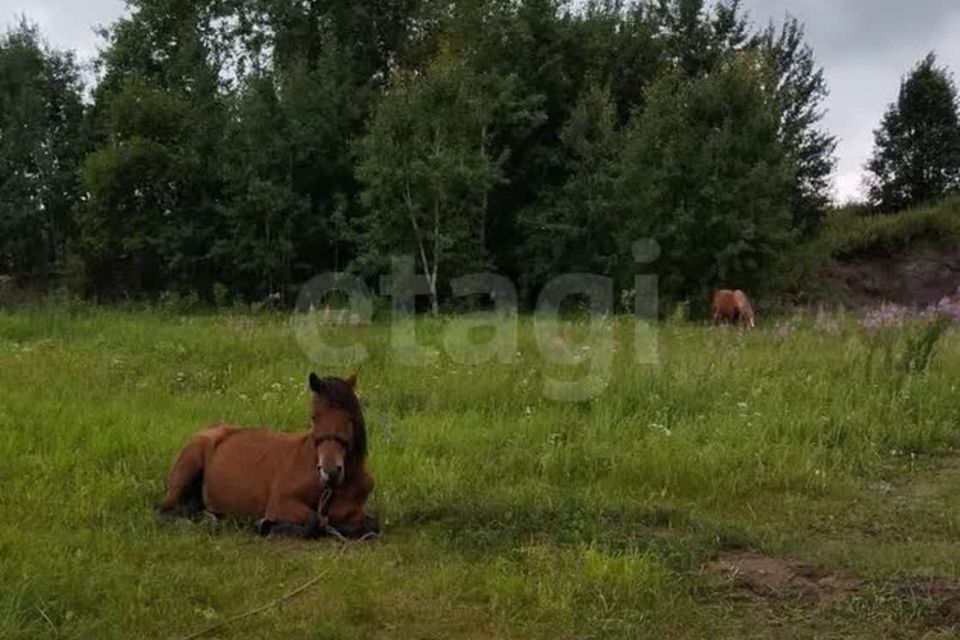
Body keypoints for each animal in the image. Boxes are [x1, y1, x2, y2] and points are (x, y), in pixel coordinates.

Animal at [159, 372, 376, 536]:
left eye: (349, 418)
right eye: (314, 418)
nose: (330, 471)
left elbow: (368, 525)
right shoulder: (281, 503)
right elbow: (315, 521)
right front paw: (268, 525)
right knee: (165, 510)